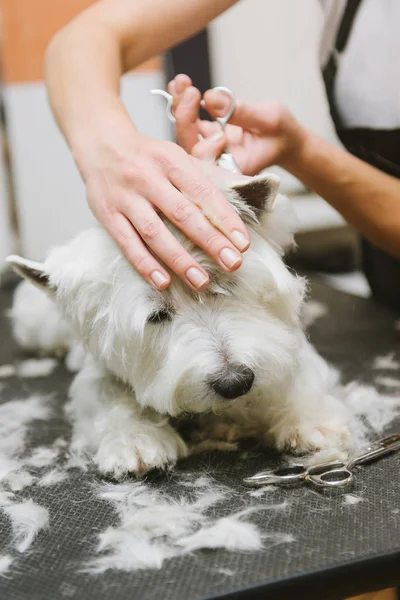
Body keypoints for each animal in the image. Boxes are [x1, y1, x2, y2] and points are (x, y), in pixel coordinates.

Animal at [6, 168, 350, 478]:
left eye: (222, 286)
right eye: (157, 316)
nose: (235, 383)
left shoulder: (286, 343)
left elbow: (298, 372)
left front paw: (312, 420)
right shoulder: (100, 371)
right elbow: (108, 397)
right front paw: (135, 442)